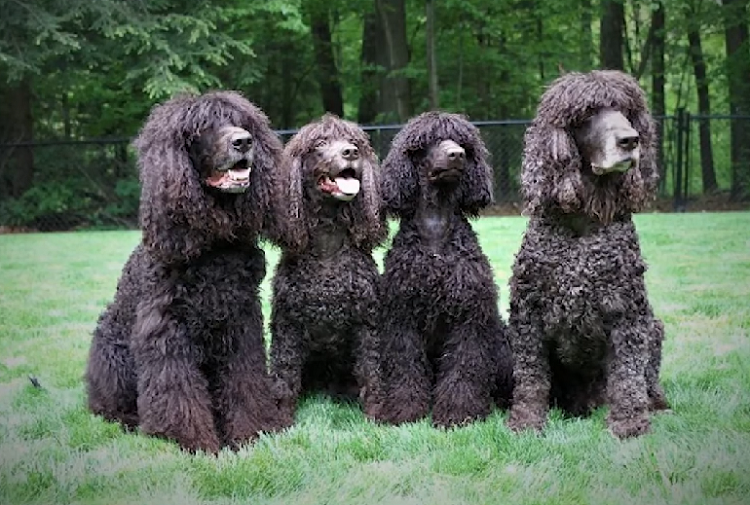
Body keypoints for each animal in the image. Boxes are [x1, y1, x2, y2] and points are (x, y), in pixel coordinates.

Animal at [268, 113, 388, 422]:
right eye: (320, 143)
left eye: (354, 141)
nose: (351, 152)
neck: (327, 249)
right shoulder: (287, 325)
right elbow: (284, 373)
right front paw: (279, 416)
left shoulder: (367, 324)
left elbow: (372, 371)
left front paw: (377, 413)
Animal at [372, 112, 516, 428]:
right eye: (431, 140)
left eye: (464, 143)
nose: (457, 154)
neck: (436, 233)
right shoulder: (402, 318)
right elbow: (406, 366)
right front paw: (404, 411)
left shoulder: (469, 317)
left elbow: (463, 367)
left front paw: (457, 414)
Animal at [508, 68, 672, 438]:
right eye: (588, 113)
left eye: (626, 111)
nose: (630, 140)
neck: (582, 224)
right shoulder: (528, 315)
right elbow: (530, 377)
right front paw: (526, 421)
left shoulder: (628, 313)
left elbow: (627, 375)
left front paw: (629, 422)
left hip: (653, 326)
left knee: (647, 379)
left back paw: (656, 404)